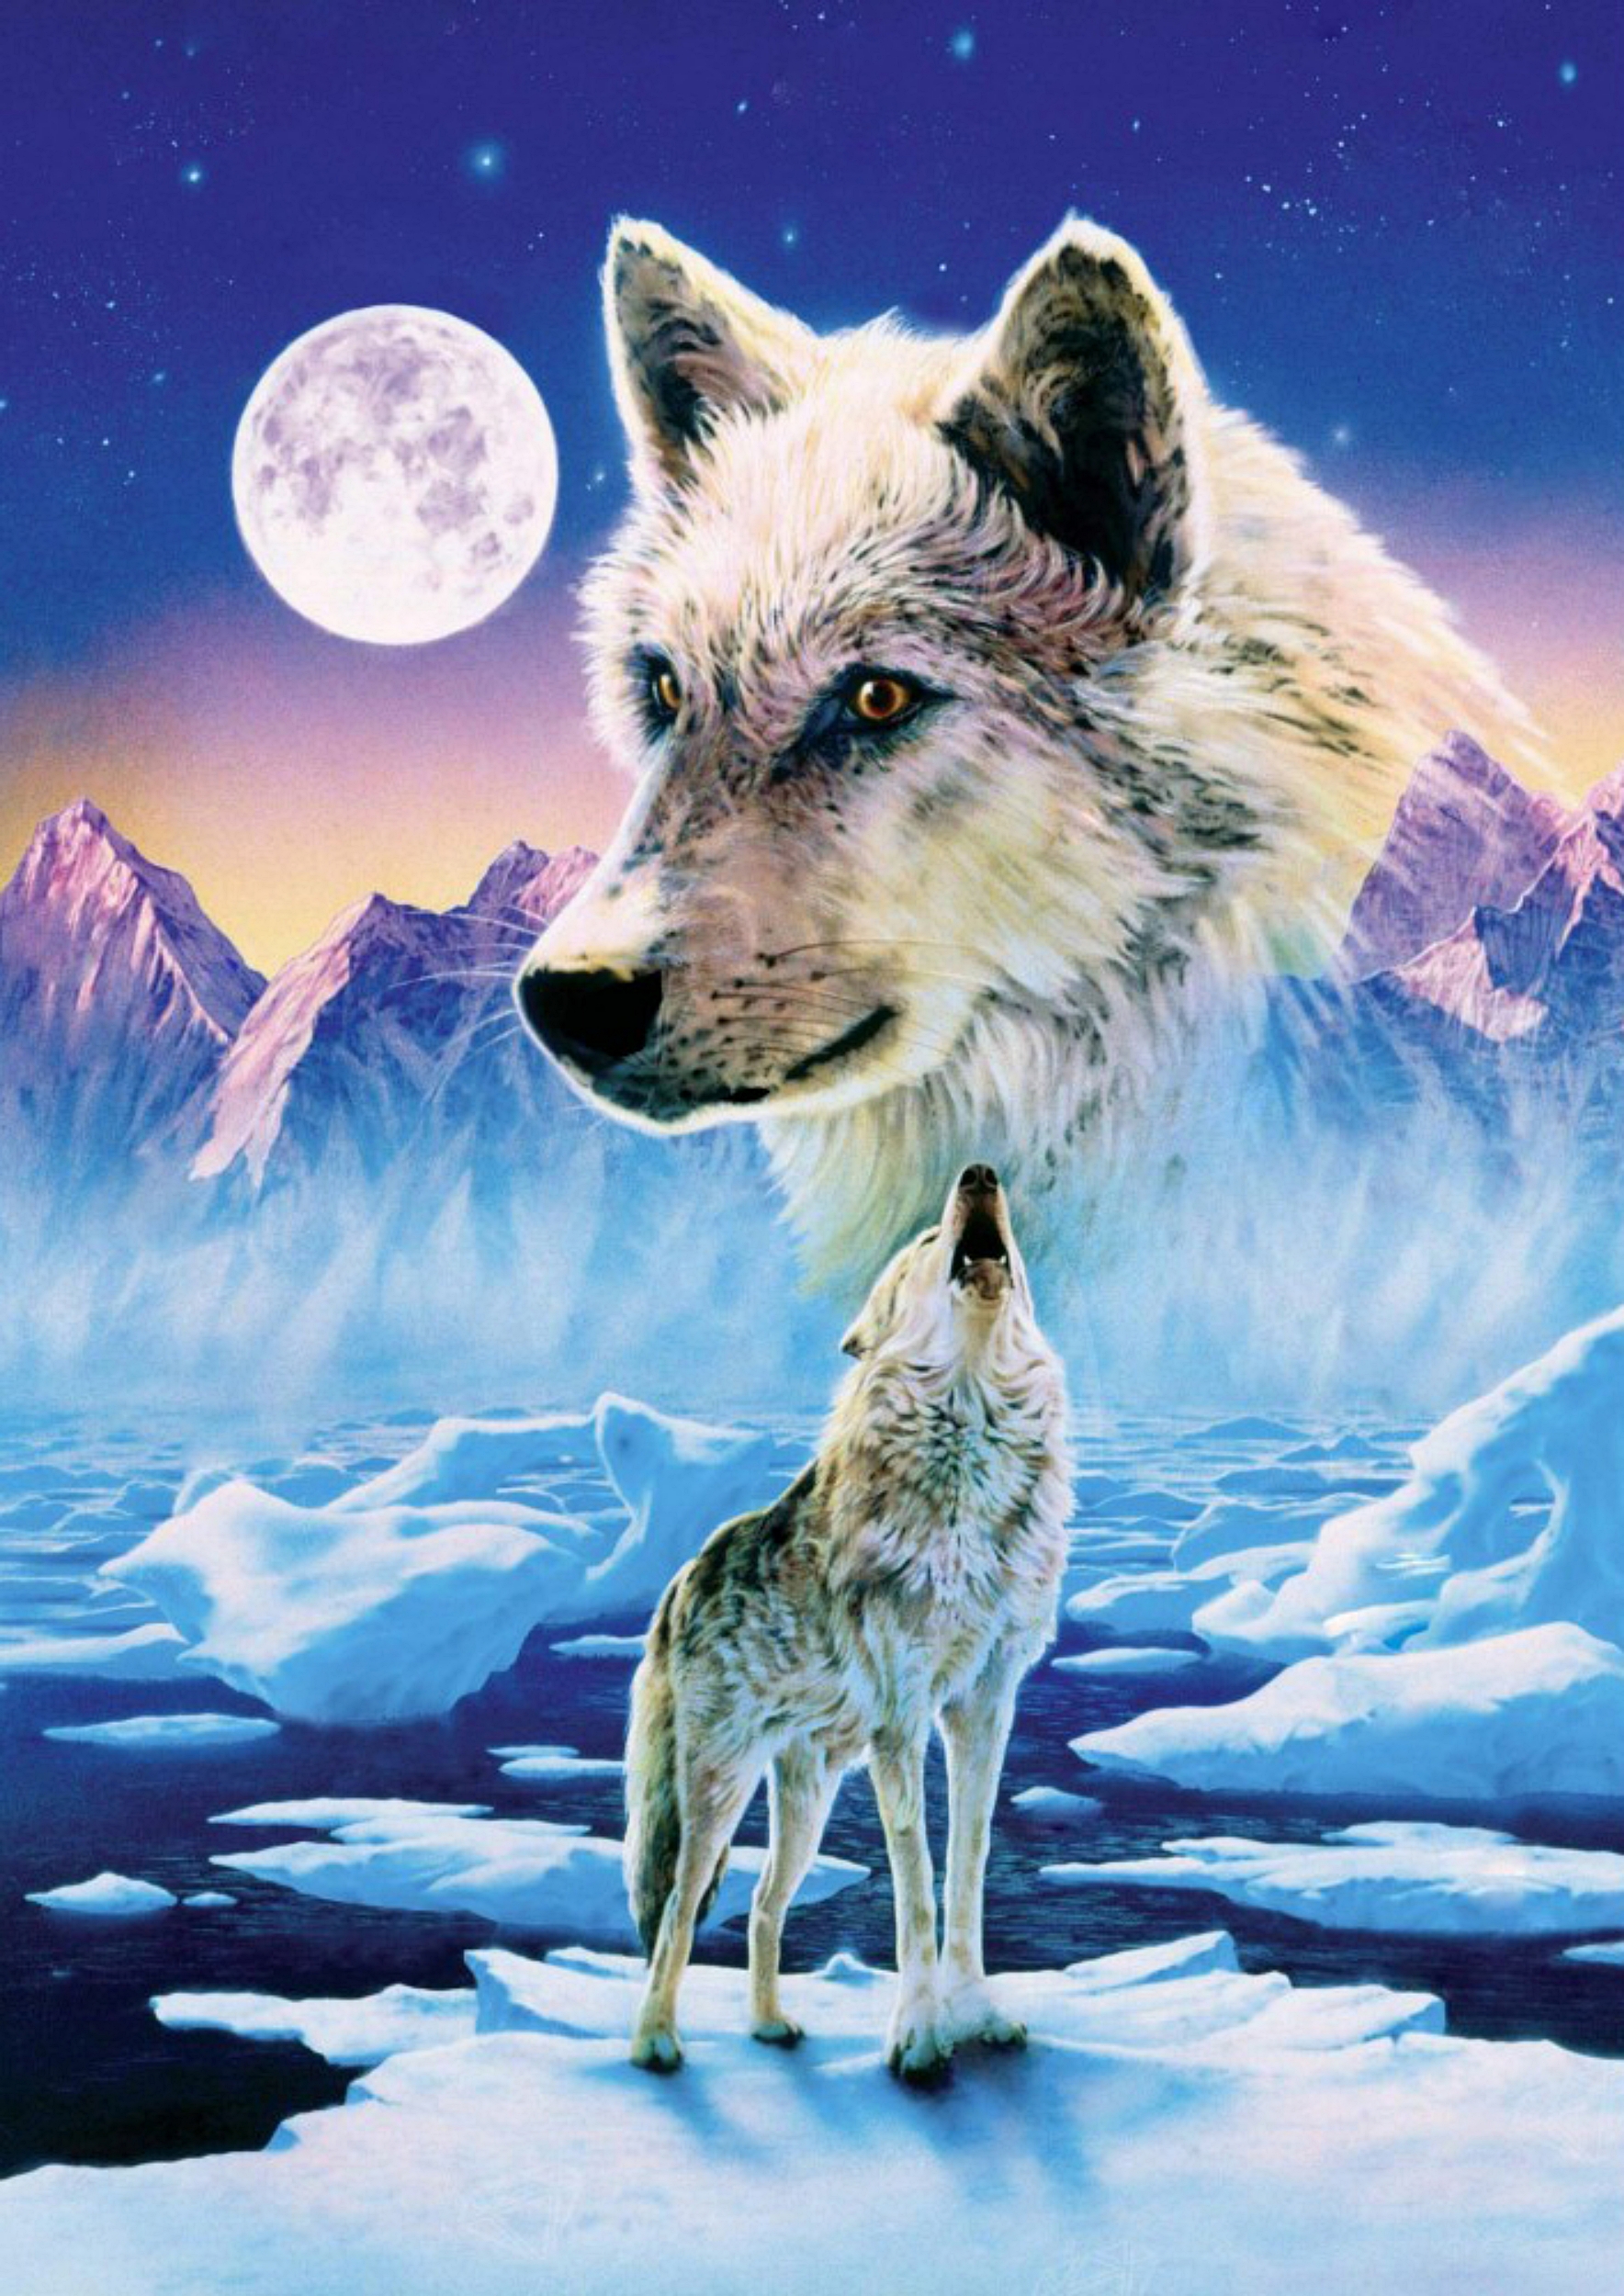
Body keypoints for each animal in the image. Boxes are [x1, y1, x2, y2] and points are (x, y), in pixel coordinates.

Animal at [623, 1164, 1069, 2082]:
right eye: (929, 1241)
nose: (979, 1172)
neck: (970, 1439)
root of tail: (682, 1577)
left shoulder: (985, 1706)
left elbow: (968, 1869)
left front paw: (977, 2016)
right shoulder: (903, 1721)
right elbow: (918, 1885)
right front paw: (921, 2037)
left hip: (809, 1794)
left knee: (764, 1901)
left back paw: (768, 2026)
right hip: (716, 1787)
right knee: (679, 1908)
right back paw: (654, 2042)